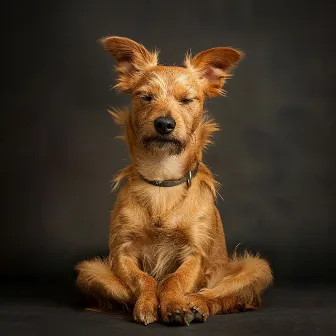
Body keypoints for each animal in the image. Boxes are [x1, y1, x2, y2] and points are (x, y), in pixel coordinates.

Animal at [76, 36, 272, 326]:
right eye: (145, 97)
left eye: (187, 100)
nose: (164, 123)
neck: (162, 176)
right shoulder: (122, 253)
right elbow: (145, 279)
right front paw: (149, 302)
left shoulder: (194, 254)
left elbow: (174, 280)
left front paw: (175, 304)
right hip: (90, 271)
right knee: (119, 291)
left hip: (256, 268)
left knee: (219, 294)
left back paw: (197, 305)